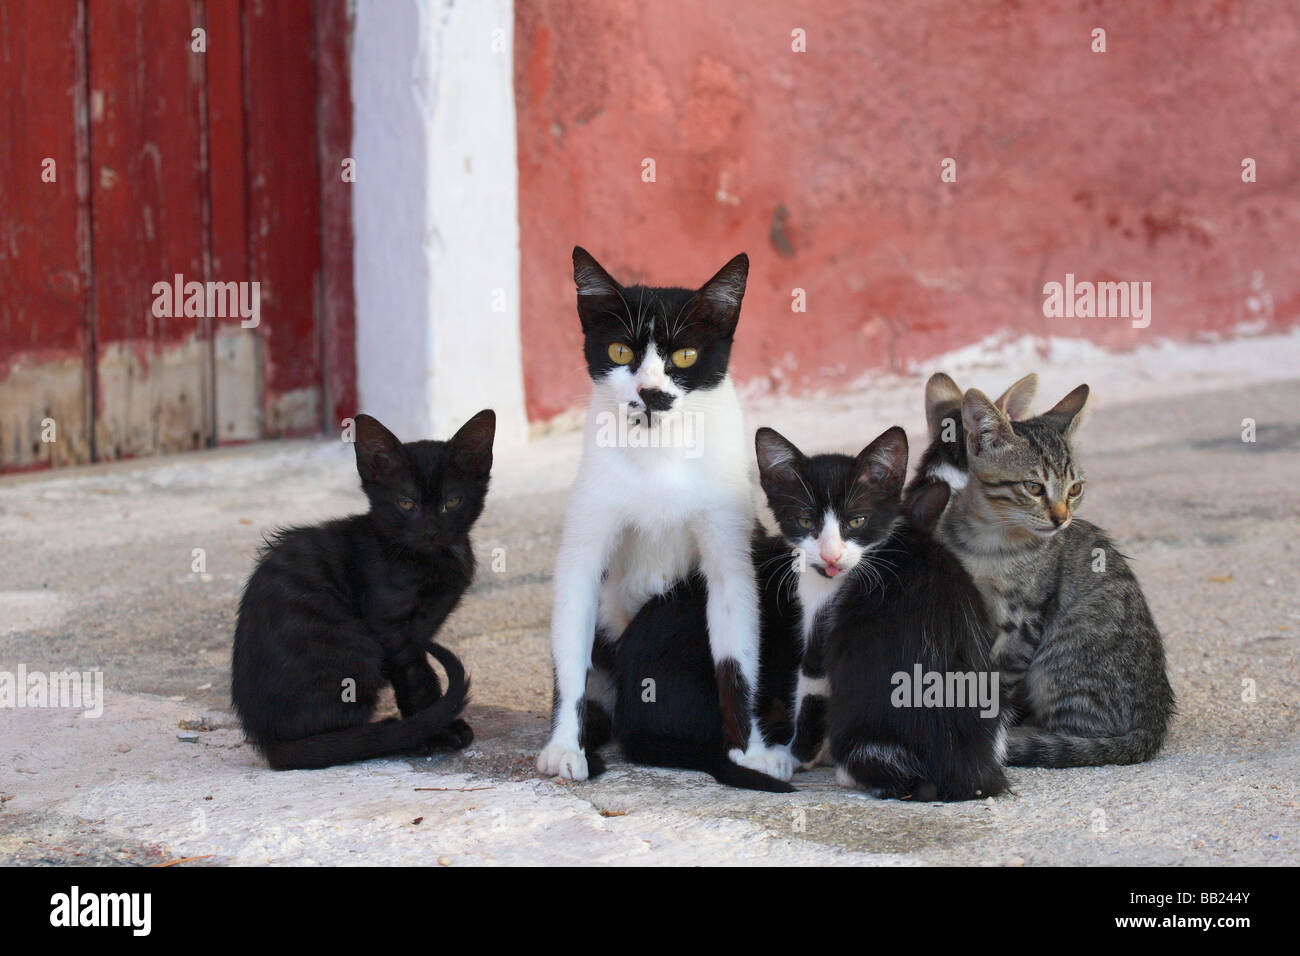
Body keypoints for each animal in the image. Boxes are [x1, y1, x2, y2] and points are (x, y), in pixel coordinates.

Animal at [228, 411, 491, 770]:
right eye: (405, 503)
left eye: (452, 501)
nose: (431, 531)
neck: (427, 558)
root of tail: (269, 744)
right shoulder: (391, 627)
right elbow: (417, 679)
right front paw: (437, 730)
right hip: (356, 649)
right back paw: (394, 738)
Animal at [935, 385, 1180, 764]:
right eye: (1034, 487)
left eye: (1074, 489)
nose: (1061, 518)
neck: (990, 543)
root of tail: (1154, 721)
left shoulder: (1024, 621)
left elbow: (998, 679)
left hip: (1062, 663)